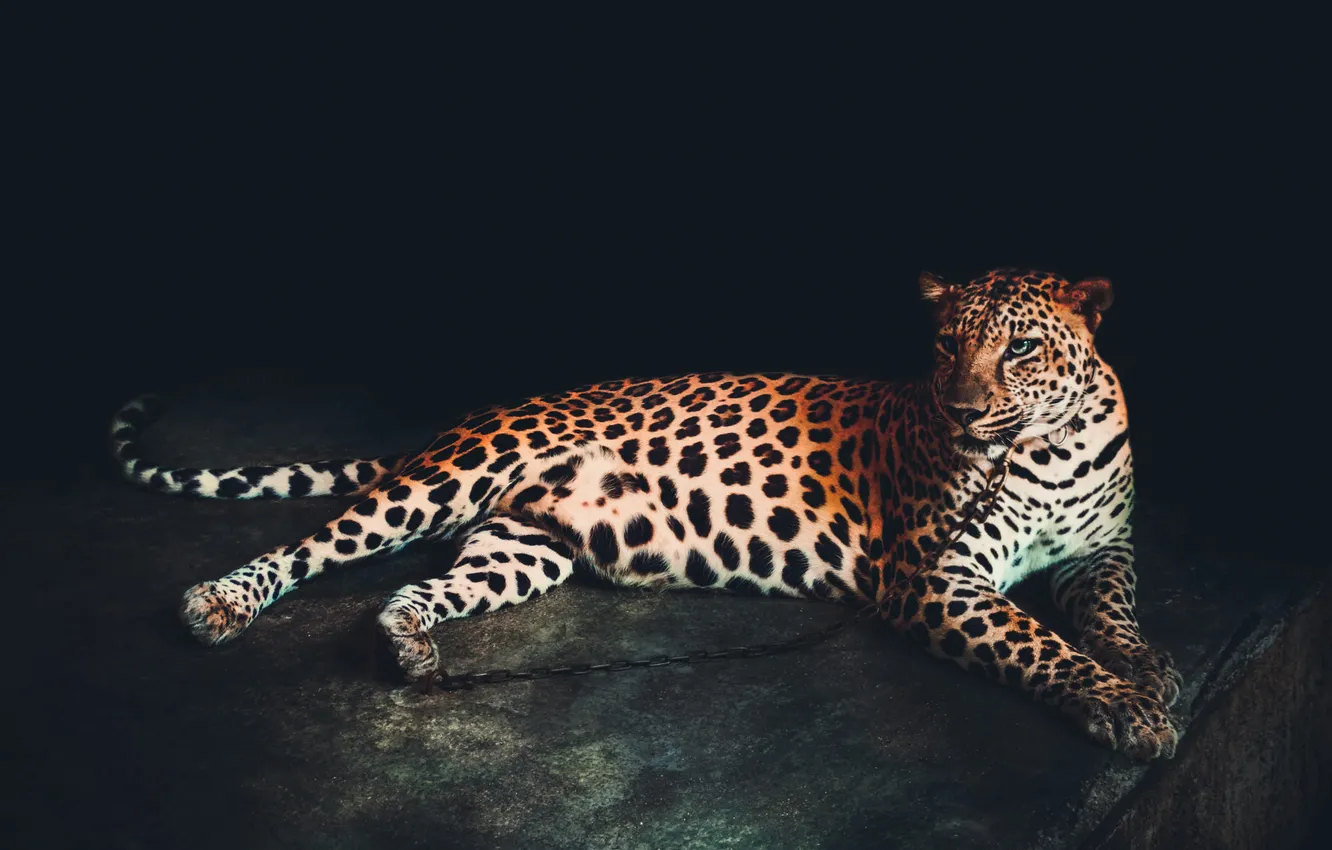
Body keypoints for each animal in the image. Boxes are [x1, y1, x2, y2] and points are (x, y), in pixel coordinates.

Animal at [110, 268, 1182, 761]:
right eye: (947, 348)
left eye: (1021, 350)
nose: (960, 411)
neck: (1048, 446)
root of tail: (463, 420)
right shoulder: (939, 576)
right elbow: (1037, 641)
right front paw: (1125, 705)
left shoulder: (1103, 547)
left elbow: (1112, 610)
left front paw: (1147, 667)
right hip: (442, 481)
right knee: (310, 546)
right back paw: (219, 602)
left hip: (522, 546)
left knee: (419, 586)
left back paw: (410, 645)